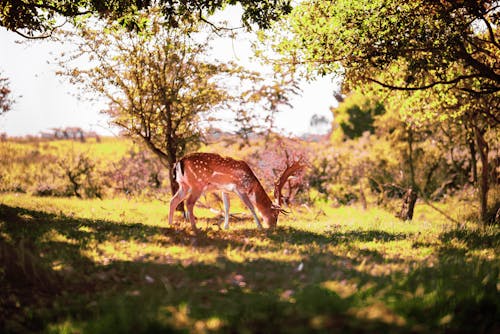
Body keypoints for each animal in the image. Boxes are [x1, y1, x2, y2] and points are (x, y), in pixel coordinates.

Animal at [168, 152, 304, 232]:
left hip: (184, 185)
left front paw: (226, 226)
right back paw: (195, 227)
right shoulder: (240, 188)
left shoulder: (225, 190)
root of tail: (179, 162)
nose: (272, 227)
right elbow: (251, 207)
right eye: (275, 215)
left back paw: (170, 224)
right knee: (189, 202)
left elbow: (227, 207)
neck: (252, 184)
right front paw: (259, 226)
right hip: (197, 184)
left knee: (173, 200)